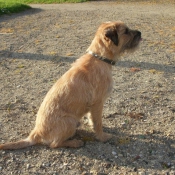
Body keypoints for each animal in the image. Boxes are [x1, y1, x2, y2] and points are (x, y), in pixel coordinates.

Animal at [0, 20, 142, 149]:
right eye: (126, 31)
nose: (140, 33)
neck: (99, 58)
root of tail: (36, 133)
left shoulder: (93, 106)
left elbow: (93, 119)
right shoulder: (97, 103)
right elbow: (98, 122)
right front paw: (102, 137)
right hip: (70, 121)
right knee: (54, 144)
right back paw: (75, 143)